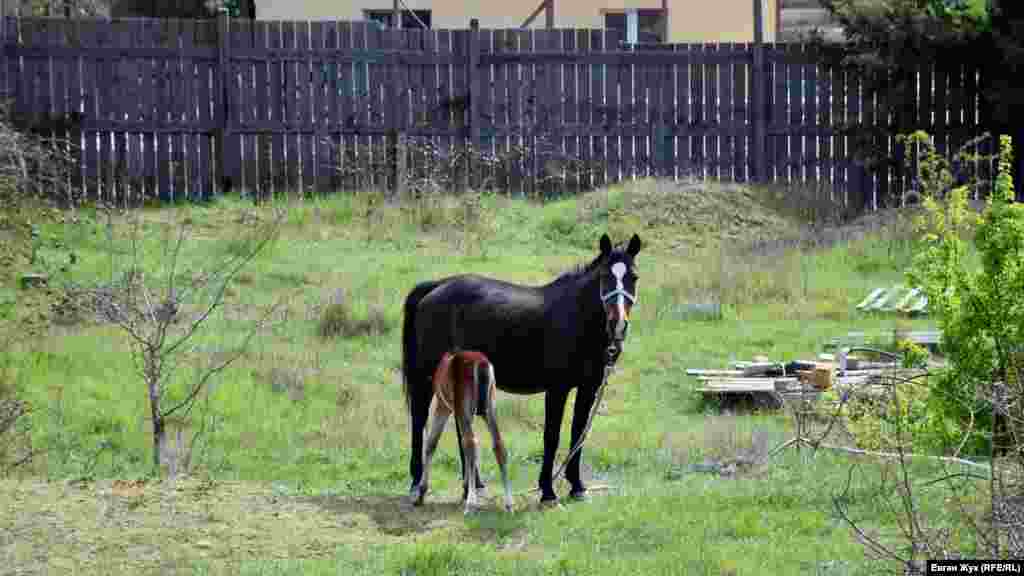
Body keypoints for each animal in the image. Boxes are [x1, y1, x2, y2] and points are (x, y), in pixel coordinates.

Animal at [415, 348, 512, 512]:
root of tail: (481, 363)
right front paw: (466, 487)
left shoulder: (443, 406)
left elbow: (431, 443)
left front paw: (421, 493)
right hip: (489, 408)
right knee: (497, 444)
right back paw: (509, 504)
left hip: (463, 408)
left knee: (471, 443)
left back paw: (471, 504)